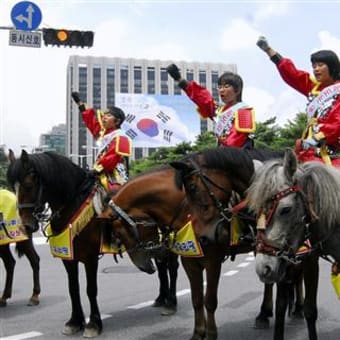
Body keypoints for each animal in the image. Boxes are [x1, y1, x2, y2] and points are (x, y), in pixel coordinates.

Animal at [99, 161, 282, 338]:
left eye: (120, 231)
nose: (143, 266)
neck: (186, 213)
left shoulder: (213, 262)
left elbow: (209, 300)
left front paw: (211, 334)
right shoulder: (189, 261)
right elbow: (197, 299)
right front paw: (198, 332)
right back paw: (266, 313)